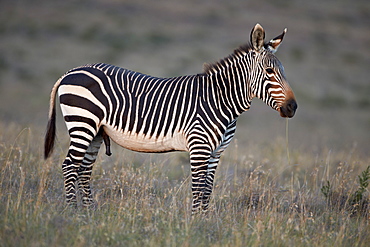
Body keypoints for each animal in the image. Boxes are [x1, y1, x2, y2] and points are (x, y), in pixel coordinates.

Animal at [43, 23, 298, 212]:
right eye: (269, 71)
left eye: (284, 71)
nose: (293, 107)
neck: (219, 100)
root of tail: (71, 71)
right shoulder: (199, 146)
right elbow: (198, 189)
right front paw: (195, 225)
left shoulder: (216, 152)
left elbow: (208, 189)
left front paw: (204, 223)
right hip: (82, 123)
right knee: (69, 166)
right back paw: (72, 213)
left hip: (95, 131)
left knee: (83, 170)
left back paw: (88, 213)